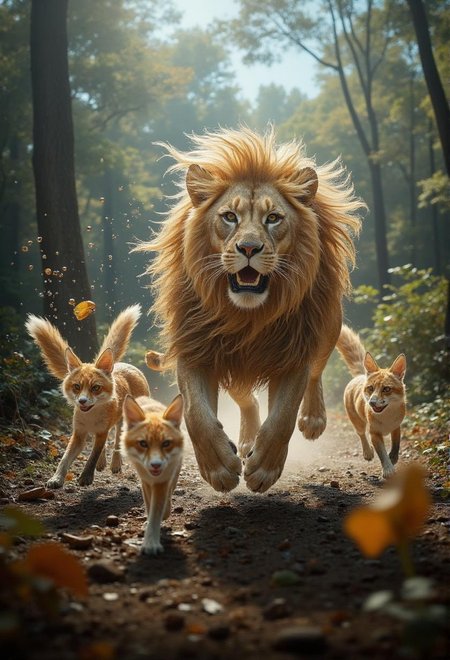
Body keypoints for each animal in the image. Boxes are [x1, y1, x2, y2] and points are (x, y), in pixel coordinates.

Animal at [25, 305, 150, 488]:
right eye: (77, 387)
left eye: (95, 388)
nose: (82, 401)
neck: (91, 416)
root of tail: (121, 365)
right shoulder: (79, 433)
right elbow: (64, 459)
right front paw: (56, 478)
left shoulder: (101, 431)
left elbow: (92, 456)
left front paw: (86, 477)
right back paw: (103, 463)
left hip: (126, 421)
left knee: (117, 441)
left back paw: (115, 463)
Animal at [121, 393, 184, 556]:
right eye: (143, 444)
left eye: (166, 443)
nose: (156, 465)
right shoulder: (145, 480)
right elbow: (150, 508)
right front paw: (149, 534)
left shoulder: (164, 480)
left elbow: (158, 511)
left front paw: (151, 543)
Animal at [138, 127, 364, 493]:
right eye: (230, 217)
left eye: (273, 218)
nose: (248, 248)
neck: (247, 317)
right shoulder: (197, 348)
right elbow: (197, 415)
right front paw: (220, 468)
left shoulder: (293, 354)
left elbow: (283, 417)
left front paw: (263, 469)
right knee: (247, 399)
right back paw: (244, 442)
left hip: (327, 326)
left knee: (317, 370)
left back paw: (312, 419)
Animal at [336, 324, 407, 479]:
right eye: (370, 388)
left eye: (386, 389)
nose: (372, 403)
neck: (386, 418)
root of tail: (362, 375)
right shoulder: (374, 434)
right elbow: (382, 454)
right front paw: (388, 469)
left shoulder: (396, 427)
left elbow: (396, 445)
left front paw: (393, 458)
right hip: (357, 422)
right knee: (361, 434)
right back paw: (367, 452)